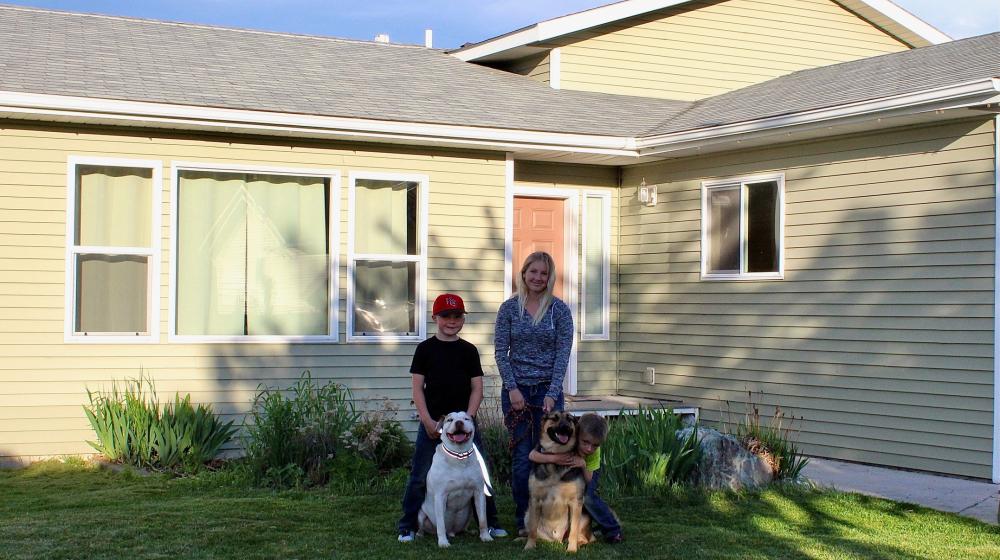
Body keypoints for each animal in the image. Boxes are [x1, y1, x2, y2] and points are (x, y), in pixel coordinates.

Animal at [416, 412, 494, 548]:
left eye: (466, 419)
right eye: (450, 420)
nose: (459, 423)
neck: (459, 455)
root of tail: (452, 531)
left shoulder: (479, 492)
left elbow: (483, 519)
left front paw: (485, 536)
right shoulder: (440, 496)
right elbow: (441, 524)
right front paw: (443, 542)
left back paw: (470, 531)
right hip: (421, 513)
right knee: (422, 525)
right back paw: (419, 535)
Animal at [524, 410, 592, 552]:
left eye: (570, 419)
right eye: (554, 418)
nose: (565, 428)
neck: (557, 455)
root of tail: (556, 539)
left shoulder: (576, 502)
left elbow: (573, 531)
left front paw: (572, 549)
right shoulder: (534, 500)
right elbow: (532, 530)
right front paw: (529, 546)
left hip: (584, 516)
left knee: (584, 537)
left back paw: (577, 544)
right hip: (527, 514)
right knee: (534, 533)